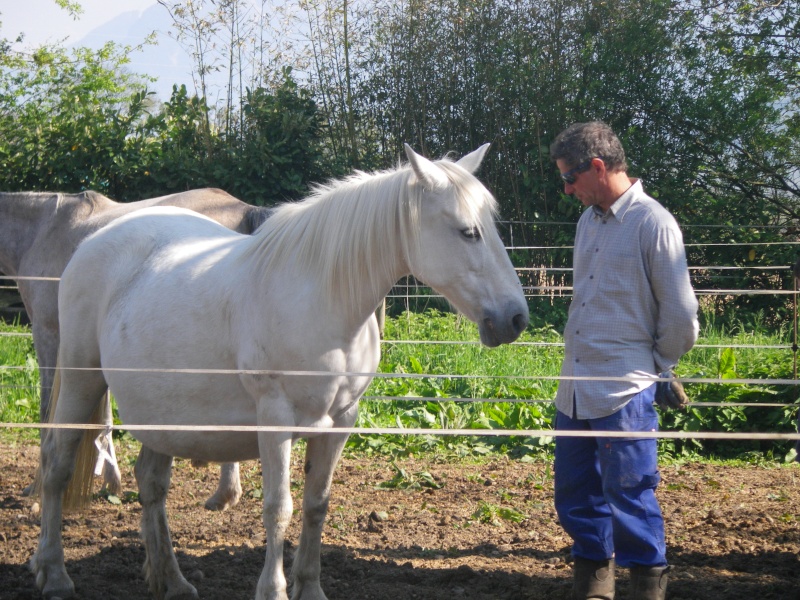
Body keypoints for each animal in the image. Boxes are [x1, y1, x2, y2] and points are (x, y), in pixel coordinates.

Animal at [0, 189, 272, 510]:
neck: (43, 228)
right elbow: (104, 415)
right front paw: (110, 480)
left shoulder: (48, 333)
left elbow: (47, 410)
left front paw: (39, 487)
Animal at [32, 145, 532, 600]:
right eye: (468, 232)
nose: (514, 318)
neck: (322, 300)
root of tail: (94, 241)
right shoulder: (275, 419)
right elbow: (278, 509)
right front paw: (272, 590)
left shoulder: (340, 421)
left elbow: (315, 505)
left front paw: (309, 586)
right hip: (81, 377)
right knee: (56, 466)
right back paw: (54, 574)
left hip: (165, 413)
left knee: (151, 483)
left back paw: (171, 581)